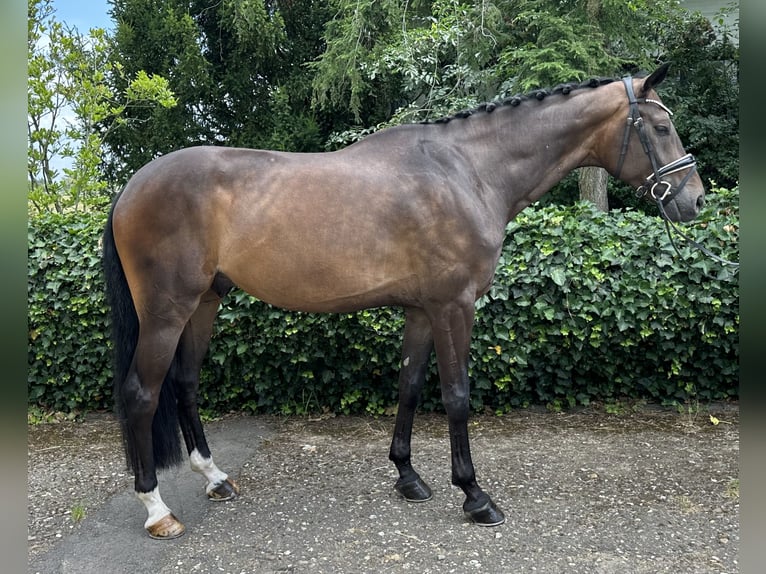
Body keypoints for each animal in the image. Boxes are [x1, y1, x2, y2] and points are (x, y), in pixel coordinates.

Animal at [102, 63, 708, 540]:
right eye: (661, 126)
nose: (696, 201)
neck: (467, 172)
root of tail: (132, 187)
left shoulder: (421, 310)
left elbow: (411, 387)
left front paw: (408, 477)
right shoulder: (453, 306)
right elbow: (457, 395)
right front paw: (475, 496)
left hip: (204, 304)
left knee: (184, 384)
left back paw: (215, 478)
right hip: (166, 312)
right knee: (141, 394)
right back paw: (157, 509)